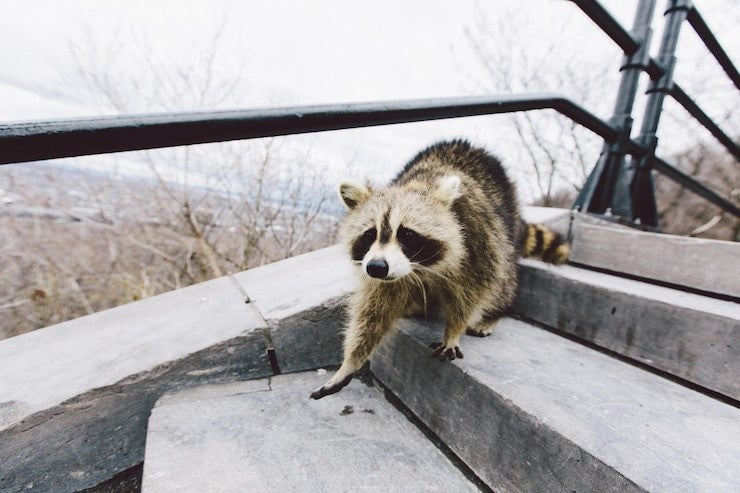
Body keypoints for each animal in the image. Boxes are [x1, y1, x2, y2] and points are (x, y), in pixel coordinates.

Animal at [310, 140, 568, 399]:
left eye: (407, 234)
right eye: (370, 234)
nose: (376, 268)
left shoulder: (476, 239)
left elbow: (474, 290)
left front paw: (454, 329)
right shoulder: (380, 271)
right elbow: (374, 310)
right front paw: (351, 361)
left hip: (505, 226)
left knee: (503, 276)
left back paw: (496, 311)